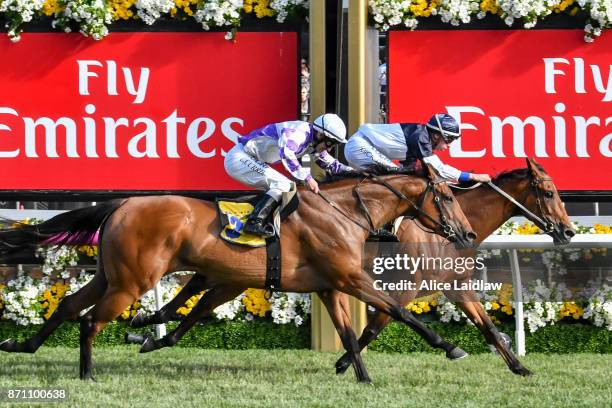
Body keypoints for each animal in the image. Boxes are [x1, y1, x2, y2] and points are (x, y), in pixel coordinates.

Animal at [0, 164, 476, 380]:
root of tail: (123, 203)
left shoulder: (331, 286)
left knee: (68, 306)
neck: (345, 213)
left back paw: (21, 344)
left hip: (110, 275)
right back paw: (87, 373)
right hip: (132, 281)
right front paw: (450, 346)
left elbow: (347, 333)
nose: (468, 233)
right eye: (449, 197)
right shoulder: (350, 280)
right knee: (89, 321)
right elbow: (402, 312)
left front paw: (360, 375)